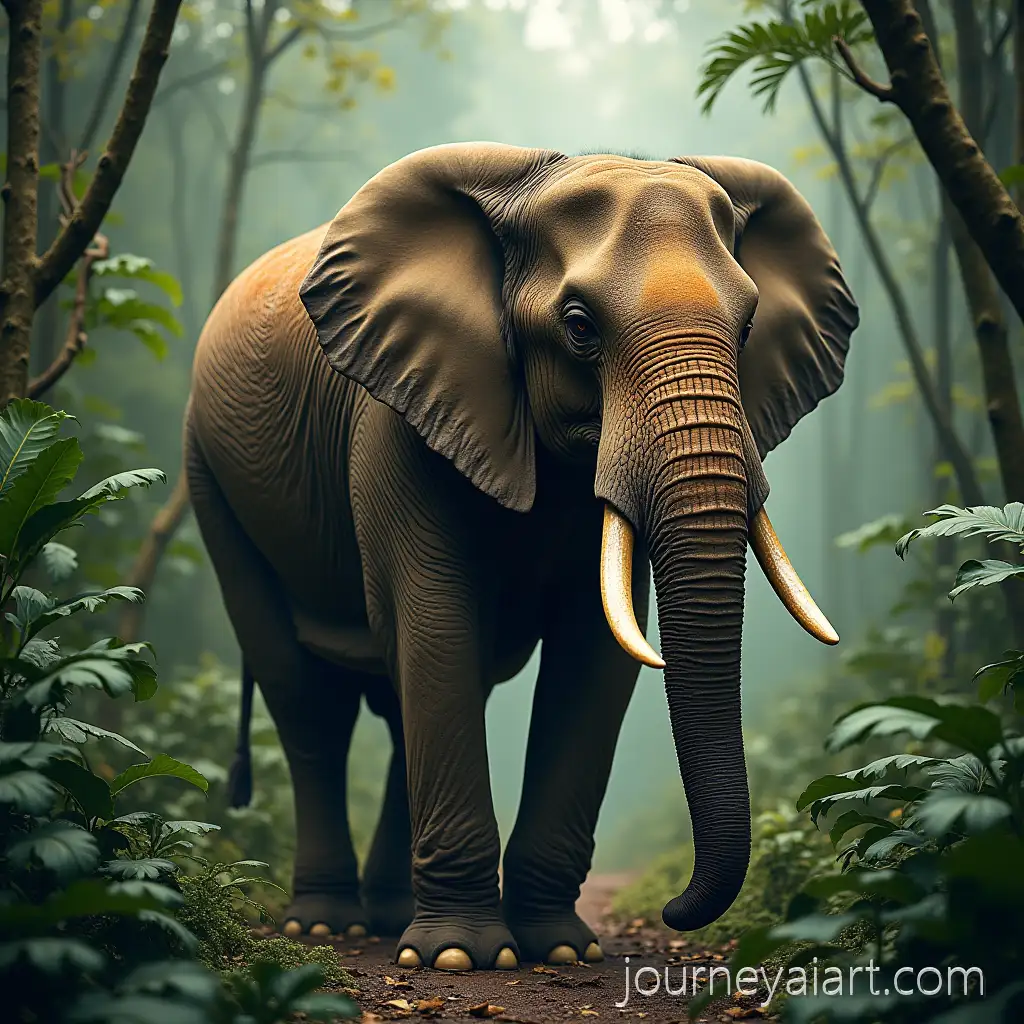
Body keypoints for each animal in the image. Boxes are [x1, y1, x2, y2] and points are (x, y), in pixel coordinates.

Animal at [185, 142, 858, 973]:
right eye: (579, 327)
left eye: (748, 325)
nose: (673, 910)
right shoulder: (395, 414)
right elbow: (436, 620)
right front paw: (460, 957)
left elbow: (593, 650)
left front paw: (561, 950)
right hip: (209, 474)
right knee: (306, 693)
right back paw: (325, 928)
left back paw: (388, 917)